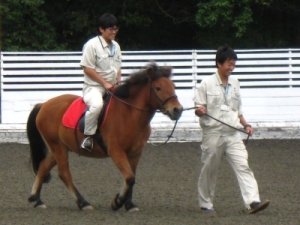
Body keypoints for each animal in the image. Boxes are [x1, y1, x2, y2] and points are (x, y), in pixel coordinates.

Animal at [26, 62, 183, 211]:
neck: (130, 114)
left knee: (43, 167)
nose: (178, 110)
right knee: (64, 173)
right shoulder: (116, 151)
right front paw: (117, 202)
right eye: (158, 88)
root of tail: (44, 104)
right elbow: (129, 178)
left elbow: (132, 177)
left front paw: (129, 205)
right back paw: (83, 203)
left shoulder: (135, 153)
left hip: (60, 147)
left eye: (173, 86)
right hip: (57, 147)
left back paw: (36, 199)